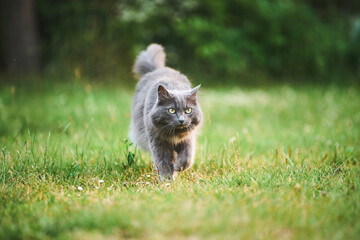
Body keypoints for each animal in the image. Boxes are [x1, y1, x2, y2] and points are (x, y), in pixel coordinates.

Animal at [129, 44, 202, 181]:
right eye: (171, 110)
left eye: (188, 110)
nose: (181, 120)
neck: (174, 135)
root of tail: (158, 69)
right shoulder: (158, 143)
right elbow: (164, 163)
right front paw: (167, 180)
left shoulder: (188, 140)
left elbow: (187, 158)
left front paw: (178, 168)